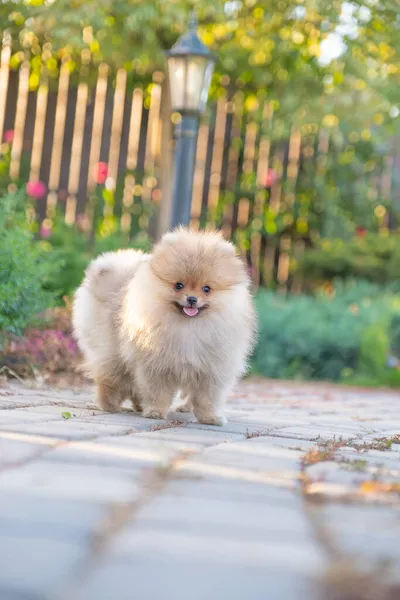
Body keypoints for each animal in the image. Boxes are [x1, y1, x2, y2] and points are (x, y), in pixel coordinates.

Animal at [72, 227, 256, 424]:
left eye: (206, 289)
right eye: (178, 285)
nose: (192, 299)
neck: (188, 327)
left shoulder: (212, 369)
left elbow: (207, 397)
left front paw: (210, 417)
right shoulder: (156, 365)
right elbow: (157, 391)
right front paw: (155, 411)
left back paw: (140, 405)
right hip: (112, 350)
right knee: (110, 378)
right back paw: (110, 405)